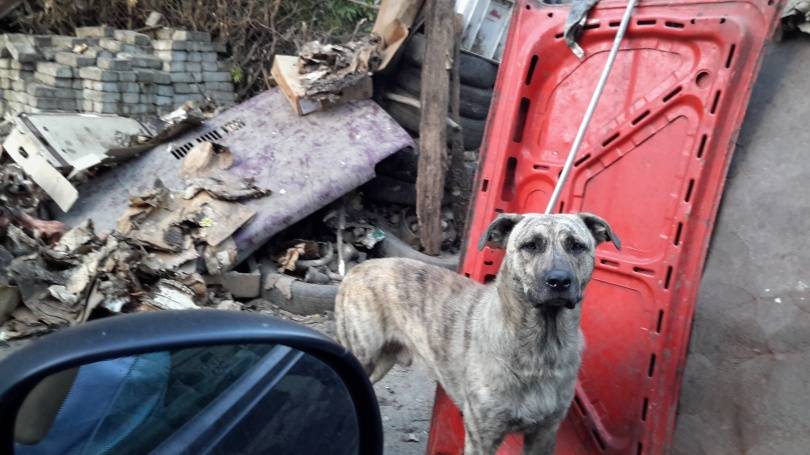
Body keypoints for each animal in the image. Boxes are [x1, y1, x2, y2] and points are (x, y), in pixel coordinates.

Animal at [334, 214, 620, 455]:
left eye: (576, 246)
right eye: (530, 245)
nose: (559, 281)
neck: (539, 348)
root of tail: (357, 269)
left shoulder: (544, 434)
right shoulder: (482, 436)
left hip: (382, 361)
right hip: (363, 356)